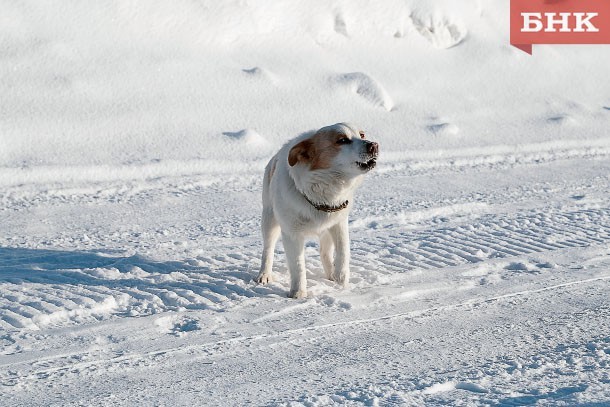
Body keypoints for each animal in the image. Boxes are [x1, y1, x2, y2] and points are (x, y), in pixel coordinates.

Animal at [254, 122, 378, 298]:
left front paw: (341, 276)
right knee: (268, 249)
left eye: (361, 135)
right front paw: (298, 292)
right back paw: (264, 275)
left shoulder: (339, 223)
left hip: (326, 230)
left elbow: (343, 250)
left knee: (325, 251)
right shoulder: (292, 234)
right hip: (270, 221)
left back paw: (332, 274)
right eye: (342, 140)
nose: (374, 145)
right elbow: (298, 266)